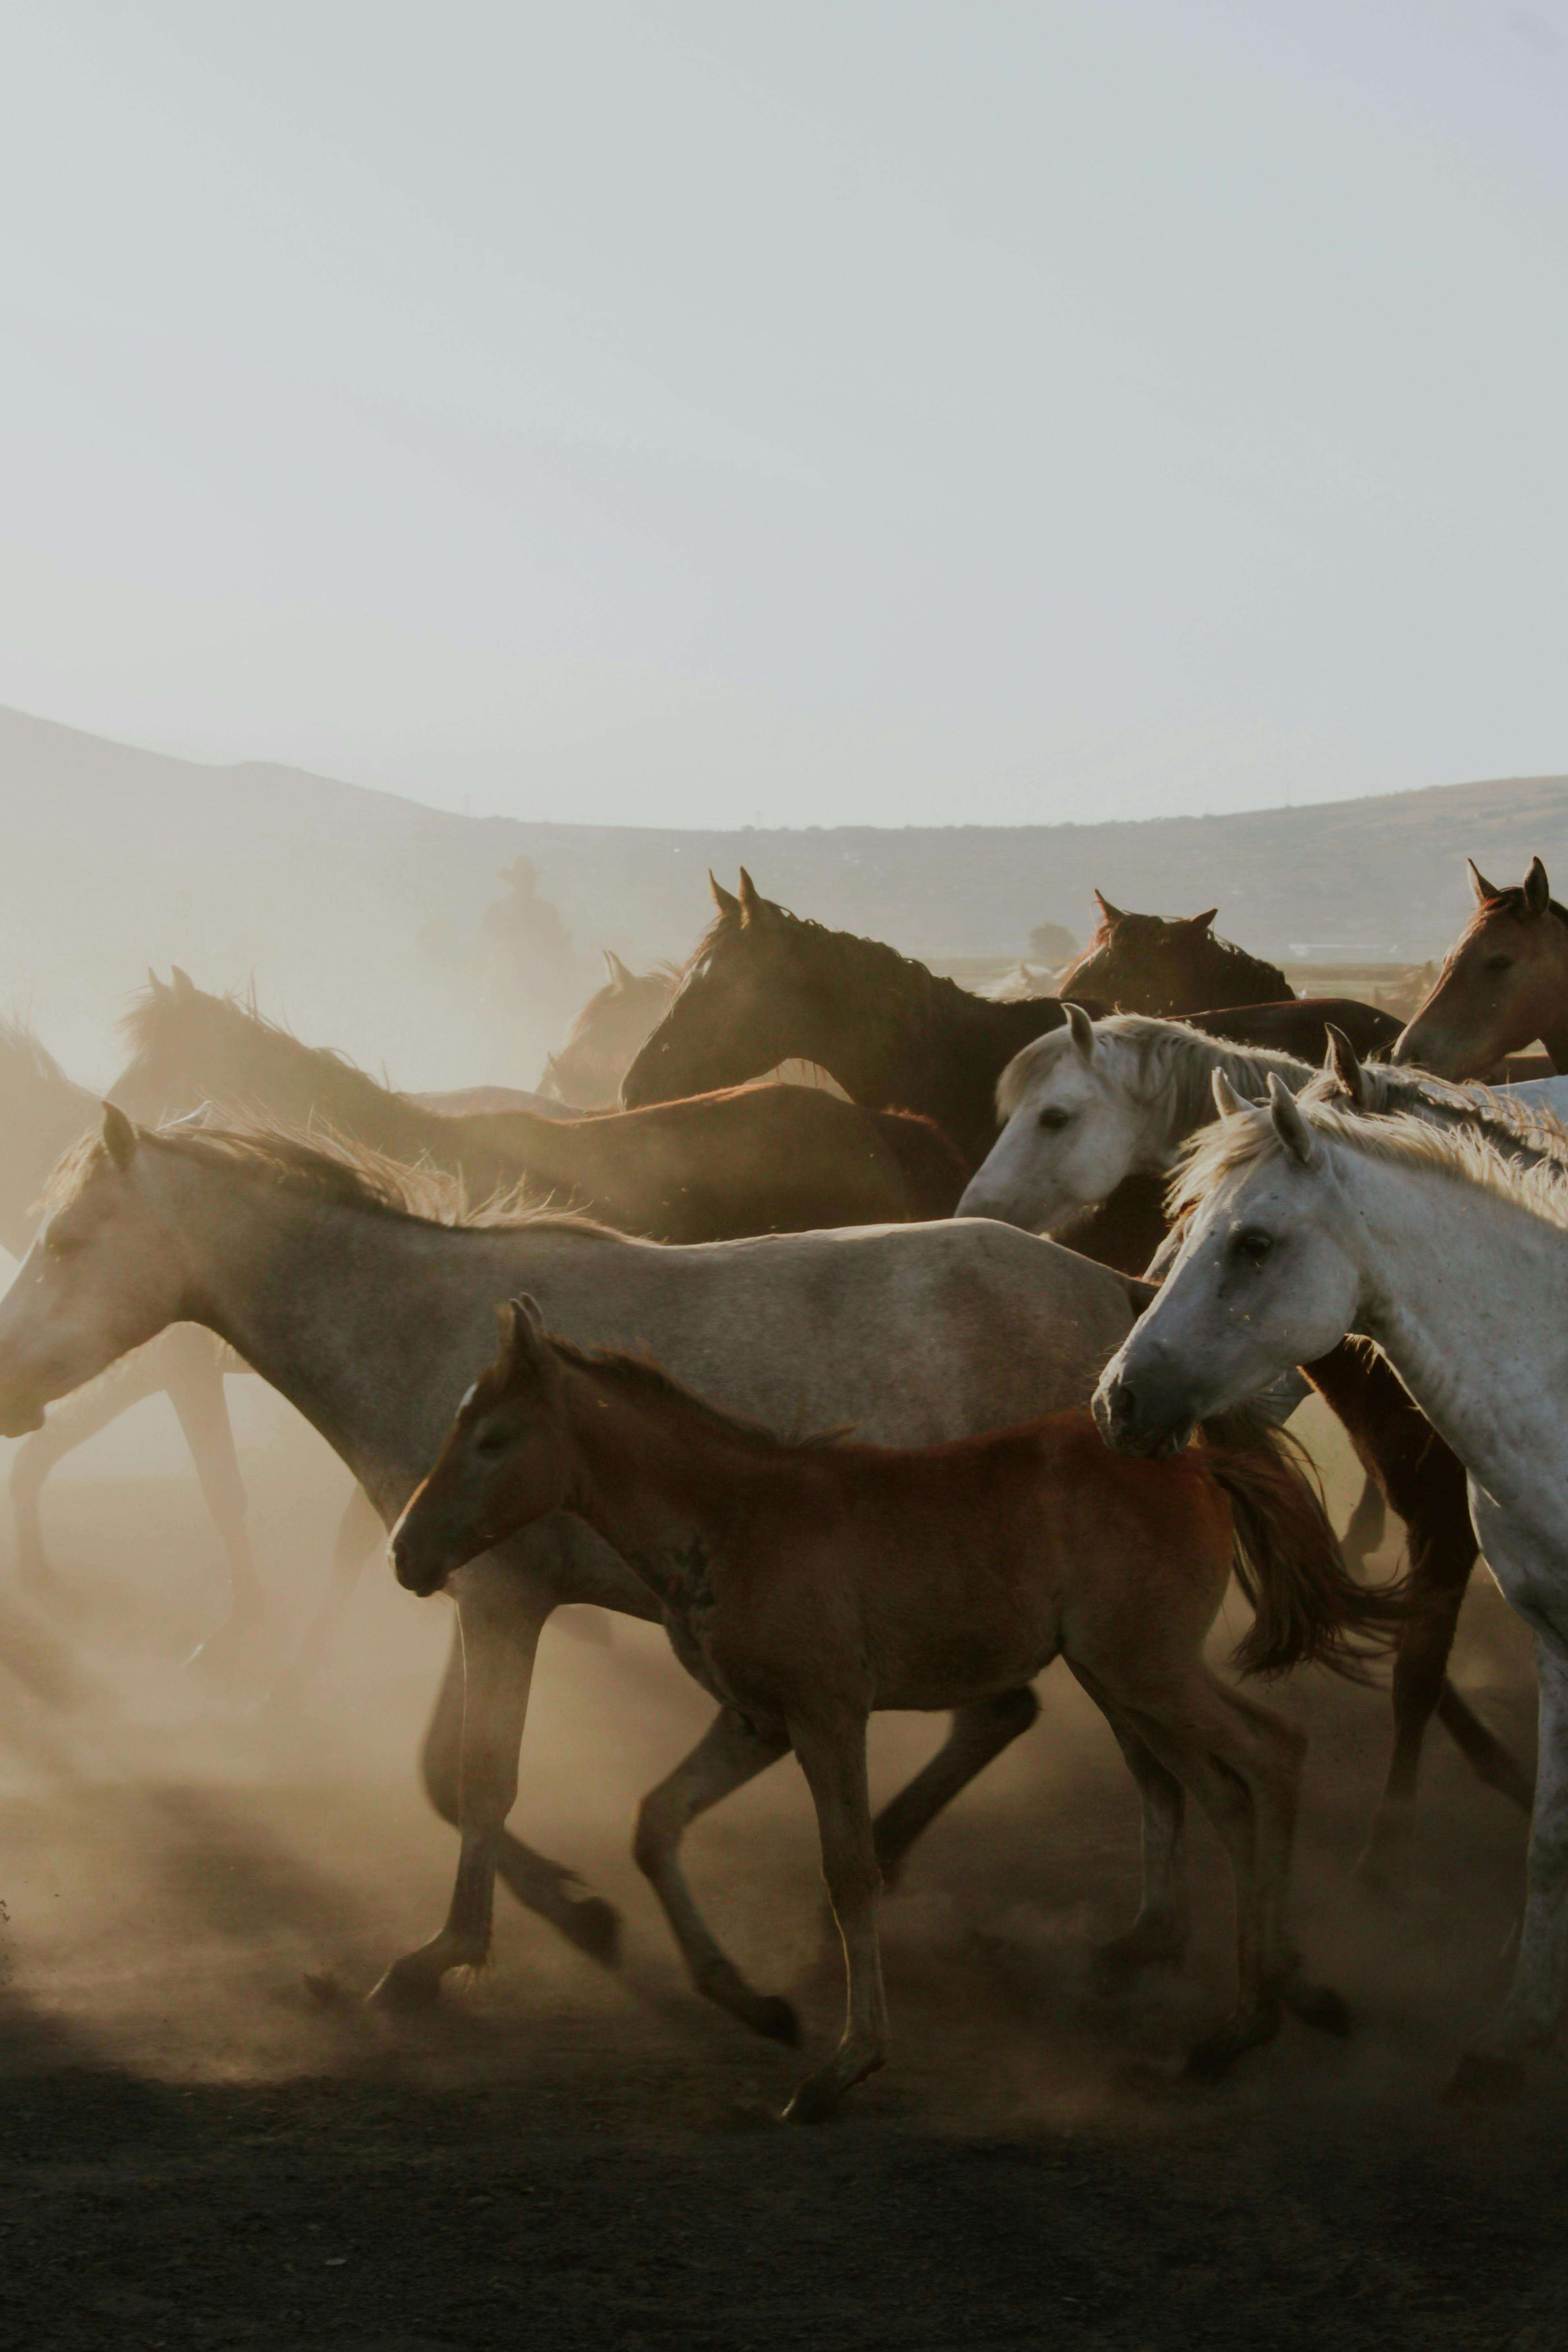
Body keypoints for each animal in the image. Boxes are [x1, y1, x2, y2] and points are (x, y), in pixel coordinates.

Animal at [0, 1111, 1183, 2030]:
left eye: (67, 1237)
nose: (6, 1381)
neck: (423, 1337)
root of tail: (1118, 1297)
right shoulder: (486, 1593)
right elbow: (445, 1776)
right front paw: (578, 1910)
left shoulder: (501, 1601)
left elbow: (482, 1775)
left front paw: (440, 1958)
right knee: (1016, 1723)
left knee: (1118, 1745)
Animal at [391, 1300, 1390, 2118]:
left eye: (493, 1439)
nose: (406, 1550)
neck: (733, 1518)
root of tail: (1199, 1463)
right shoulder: (756, 1719)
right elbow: (657, 1820)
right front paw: (755, 2003)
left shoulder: (829, 1712)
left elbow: (849, 1871)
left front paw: (844, 2067)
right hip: (1128, 1678)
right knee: (1224, 1792)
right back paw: (1245, 2014)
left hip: (1144, 1668)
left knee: (1271, 1752)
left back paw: (1265, 2008)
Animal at [952, 1008, 1548, 1875]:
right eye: (1184, 1210)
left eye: (1054, 1117)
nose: (978, 1208)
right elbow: (1411, 1654)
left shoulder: (1446, 1524)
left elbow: (1417, 1673)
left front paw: (1393, 1844)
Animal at [1093, 1076, 1568, 2102]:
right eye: (1180, 1227)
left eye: (1252, 1242)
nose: (1117, 1400)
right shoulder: (1553, 1632)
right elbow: (1551, 1839)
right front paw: (1514, 2034)